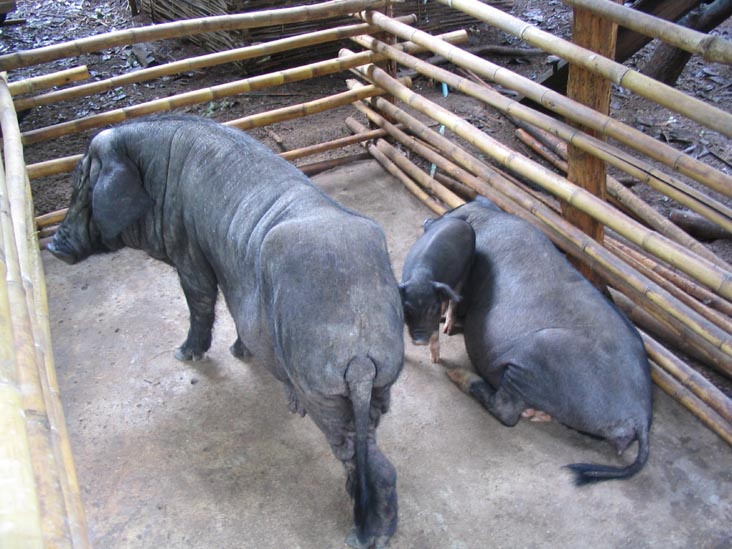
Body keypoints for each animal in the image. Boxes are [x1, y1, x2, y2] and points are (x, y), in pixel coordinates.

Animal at [48, 114, 404, 548]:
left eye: (82, 188)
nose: (52, 246)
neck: (156, 171)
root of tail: (361, 355)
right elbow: (235, 315)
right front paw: (239, 352)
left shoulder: (188, 247)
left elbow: (199, 299)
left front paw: (183, 354)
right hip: (382, 383)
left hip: (325, 390)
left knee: (365, 458)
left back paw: (362, 536)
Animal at [399, 217, 475, 362]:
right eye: (407, 309)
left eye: (432, 308)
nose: (420, 341)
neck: (420, 278)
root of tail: (460, 220)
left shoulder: (434, 318)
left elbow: (435, 333)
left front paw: (435, 360)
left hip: (467, 268)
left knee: (454, 300)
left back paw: (447, 330)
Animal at [437, 198, 652, 485]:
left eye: (452, 211)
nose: (429, 220)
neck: (487, 218)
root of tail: (640, 416)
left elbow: (457, 297)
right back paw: (538, 415)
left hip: (534, 357)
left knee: (506, 410)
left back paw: (456, 375)